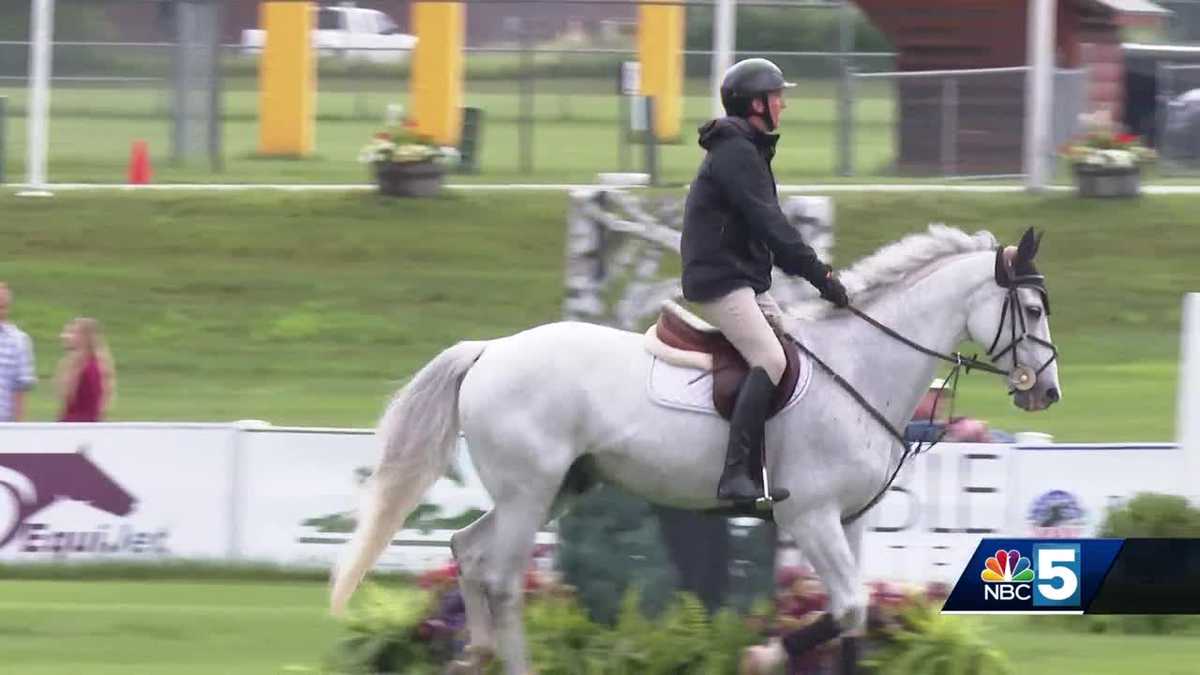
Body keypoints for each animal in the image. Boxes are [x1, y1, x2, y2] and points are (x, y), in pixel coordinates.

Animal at [328, 223, 1060, 667]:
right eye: (1031, 311)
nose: (1046, 392)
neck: (863, 362)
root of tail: (490, 350)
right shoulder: (810, 517)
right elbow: (848, 606)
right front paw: (760, 655)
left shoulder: (849, 520)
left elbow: (853, 618)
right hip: (530, 490)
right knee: (504, 579)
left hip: (556, 487)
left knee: (469, 552)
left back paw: (473, 655)